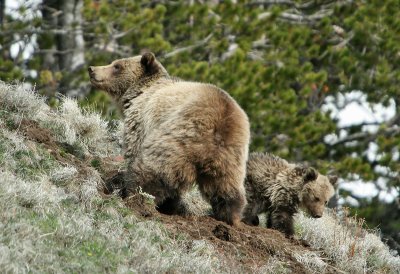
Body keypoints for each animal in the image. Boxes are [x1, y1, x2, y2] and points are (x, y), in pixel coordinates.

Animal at [89, 52, 248, 226]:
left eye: (117, 65)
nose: (92, 69)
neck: (139, 92)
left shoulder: (142, 119)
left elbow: (134, 147)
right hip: (231, 158)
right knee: (227, 188)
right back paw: (230, 216)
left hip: (177, 137)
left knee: (155, 170)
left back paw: (139, 198)